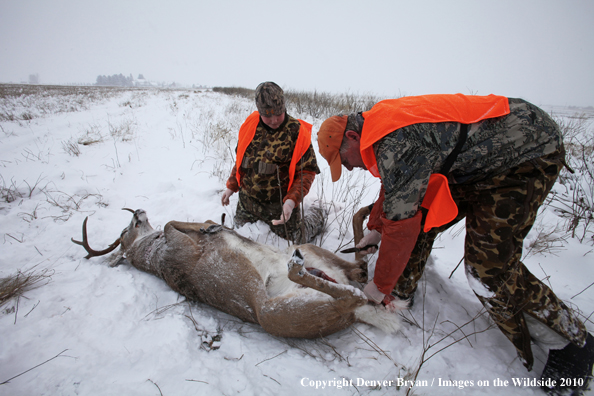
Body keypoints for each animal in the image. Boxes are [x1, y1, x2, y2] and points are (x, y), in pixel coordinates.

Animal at [71, 207, 400, 338]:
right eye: (124, 231)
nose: (138, 210)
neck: (153, 254)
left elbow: (184, 222)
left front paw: (212, 226)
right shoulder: (179, 250)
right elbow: (170, 224)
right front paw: (208, 228)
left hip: (308, 249)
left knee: (359, 273)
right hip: (275, 312)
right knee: (353, 292)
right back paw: (299, 267)